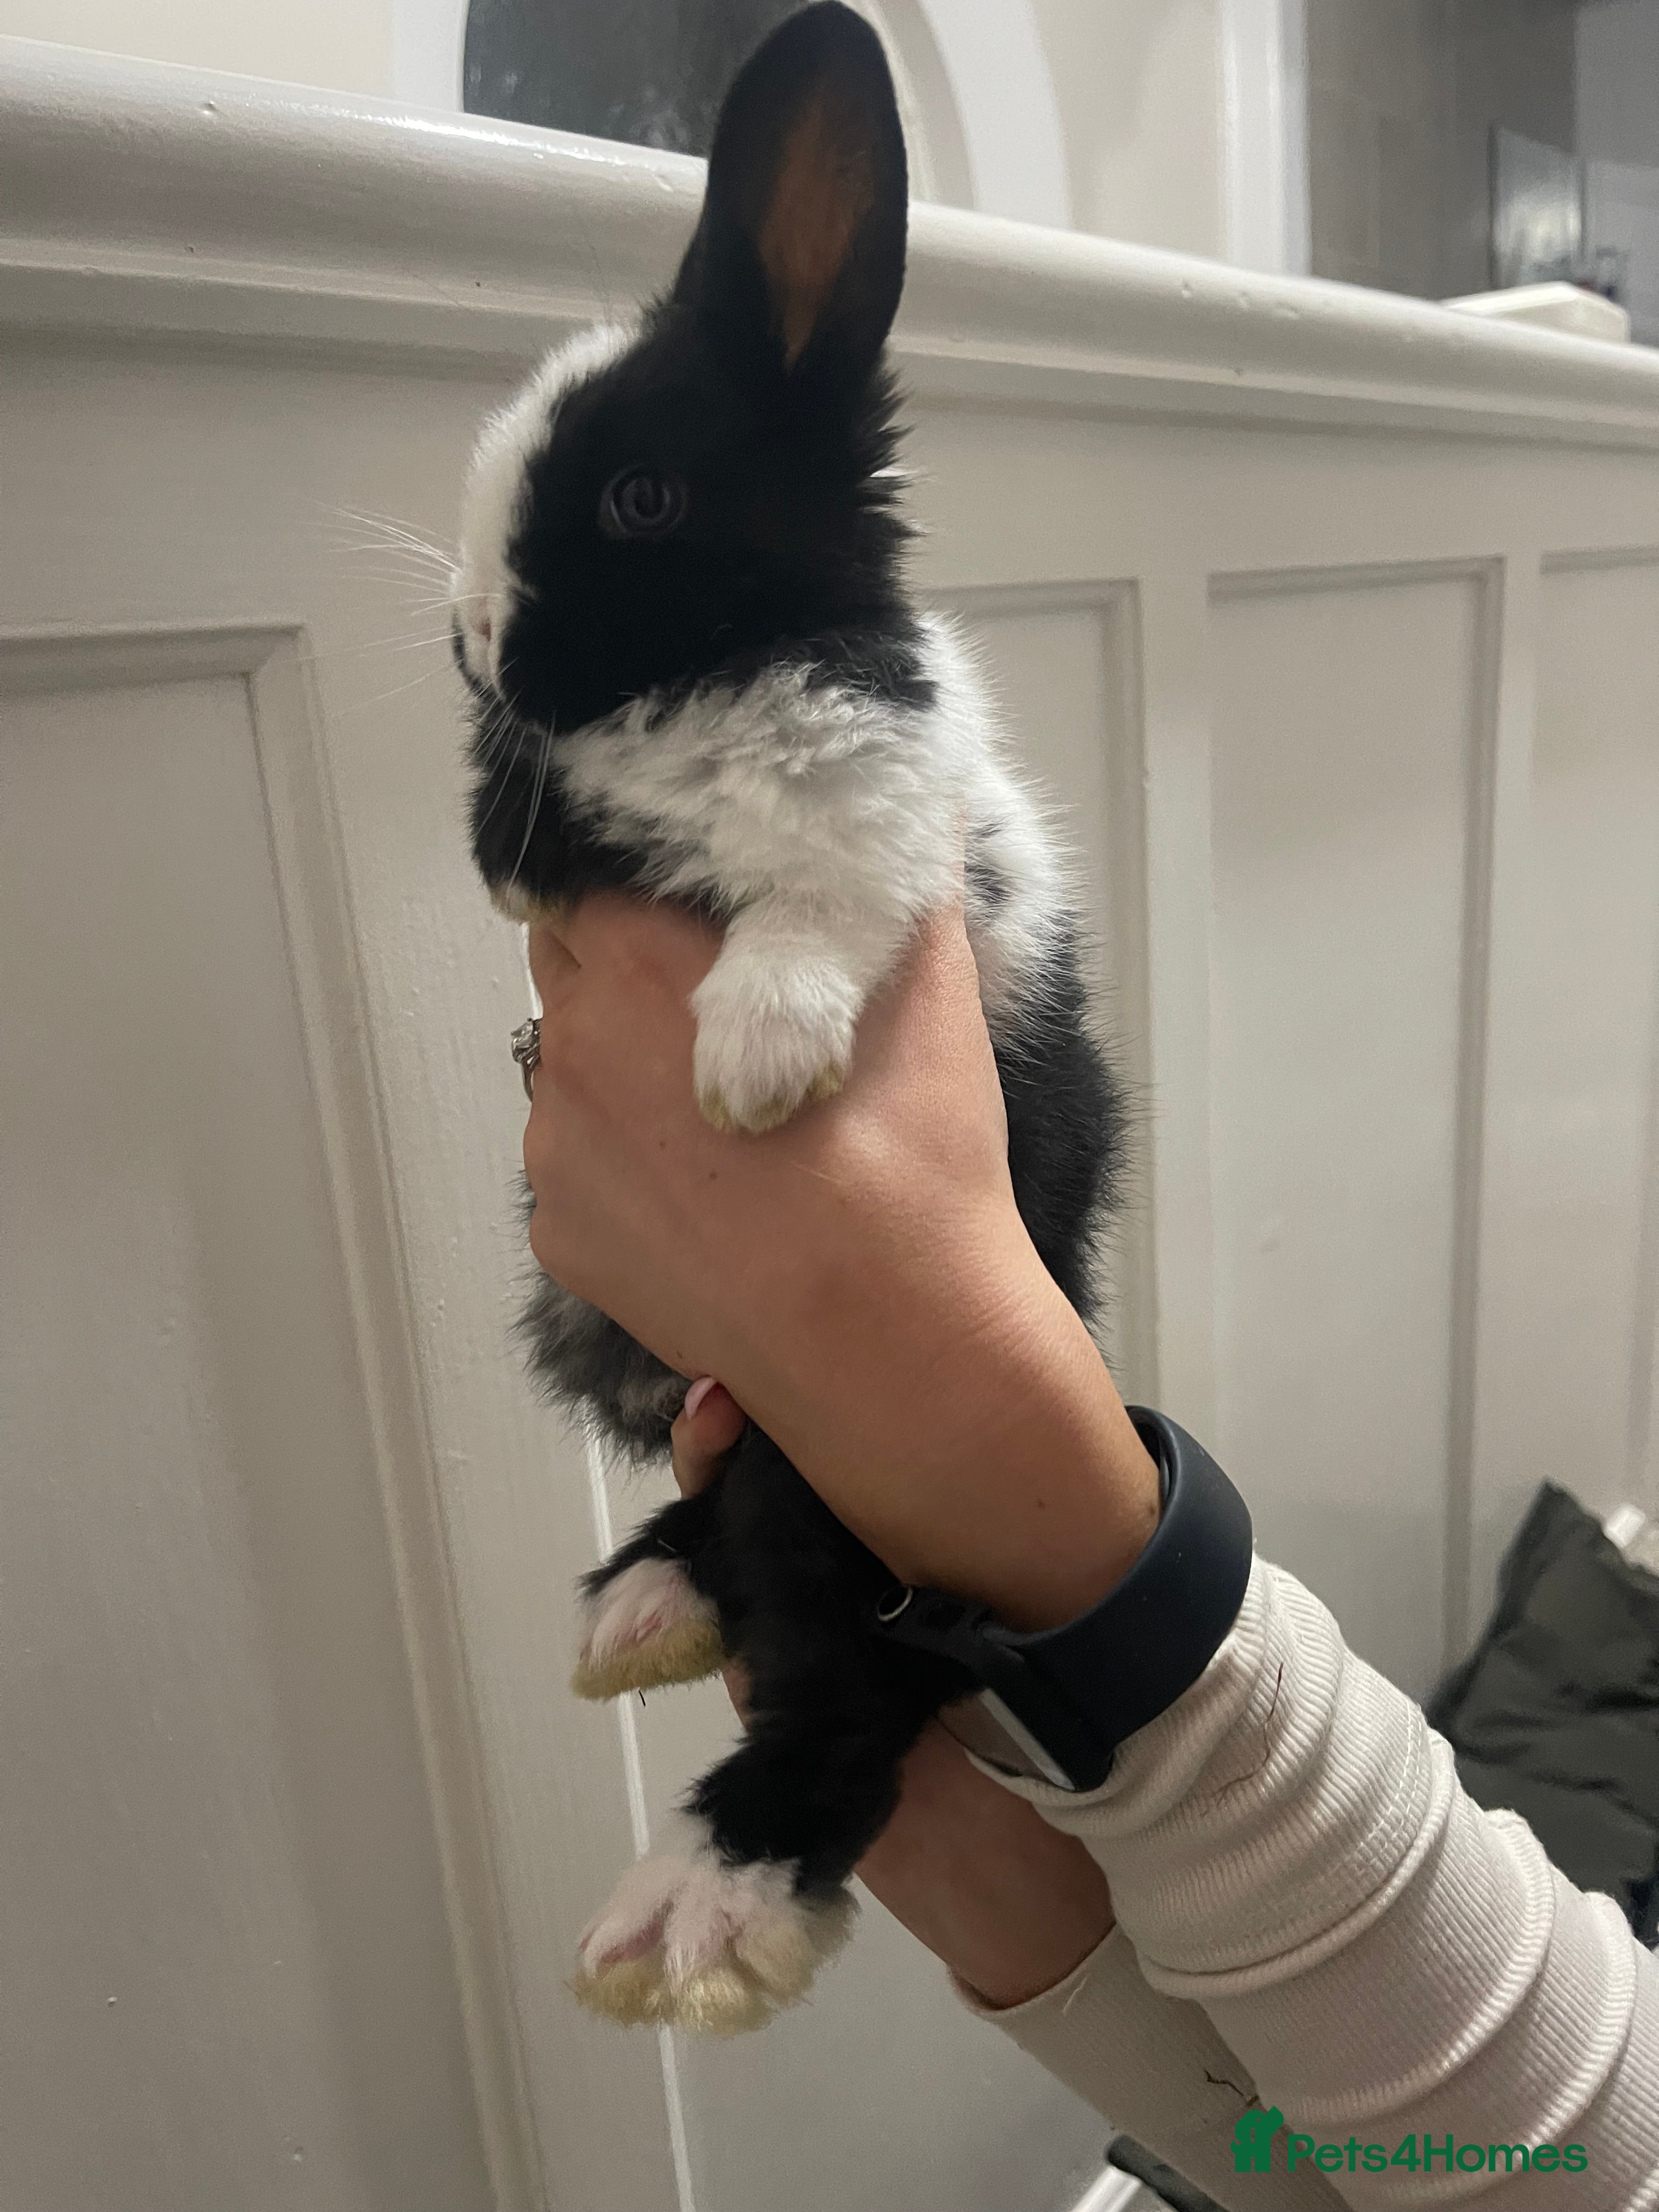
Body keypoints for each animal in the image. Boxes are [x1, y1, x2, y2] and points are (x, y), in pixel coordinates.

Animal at [451, 0, 1124, 2034]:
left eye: (640, 496)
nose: (479, 643)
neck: (706, 684)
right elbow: (526, 831)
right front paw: (515, 838)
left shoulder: (890, 815)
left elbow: (821, 890)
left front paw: (750, 1068)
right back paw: (637, 1608)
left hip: (828, 1493)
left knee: (851, 1697)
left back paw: (702, 1904)